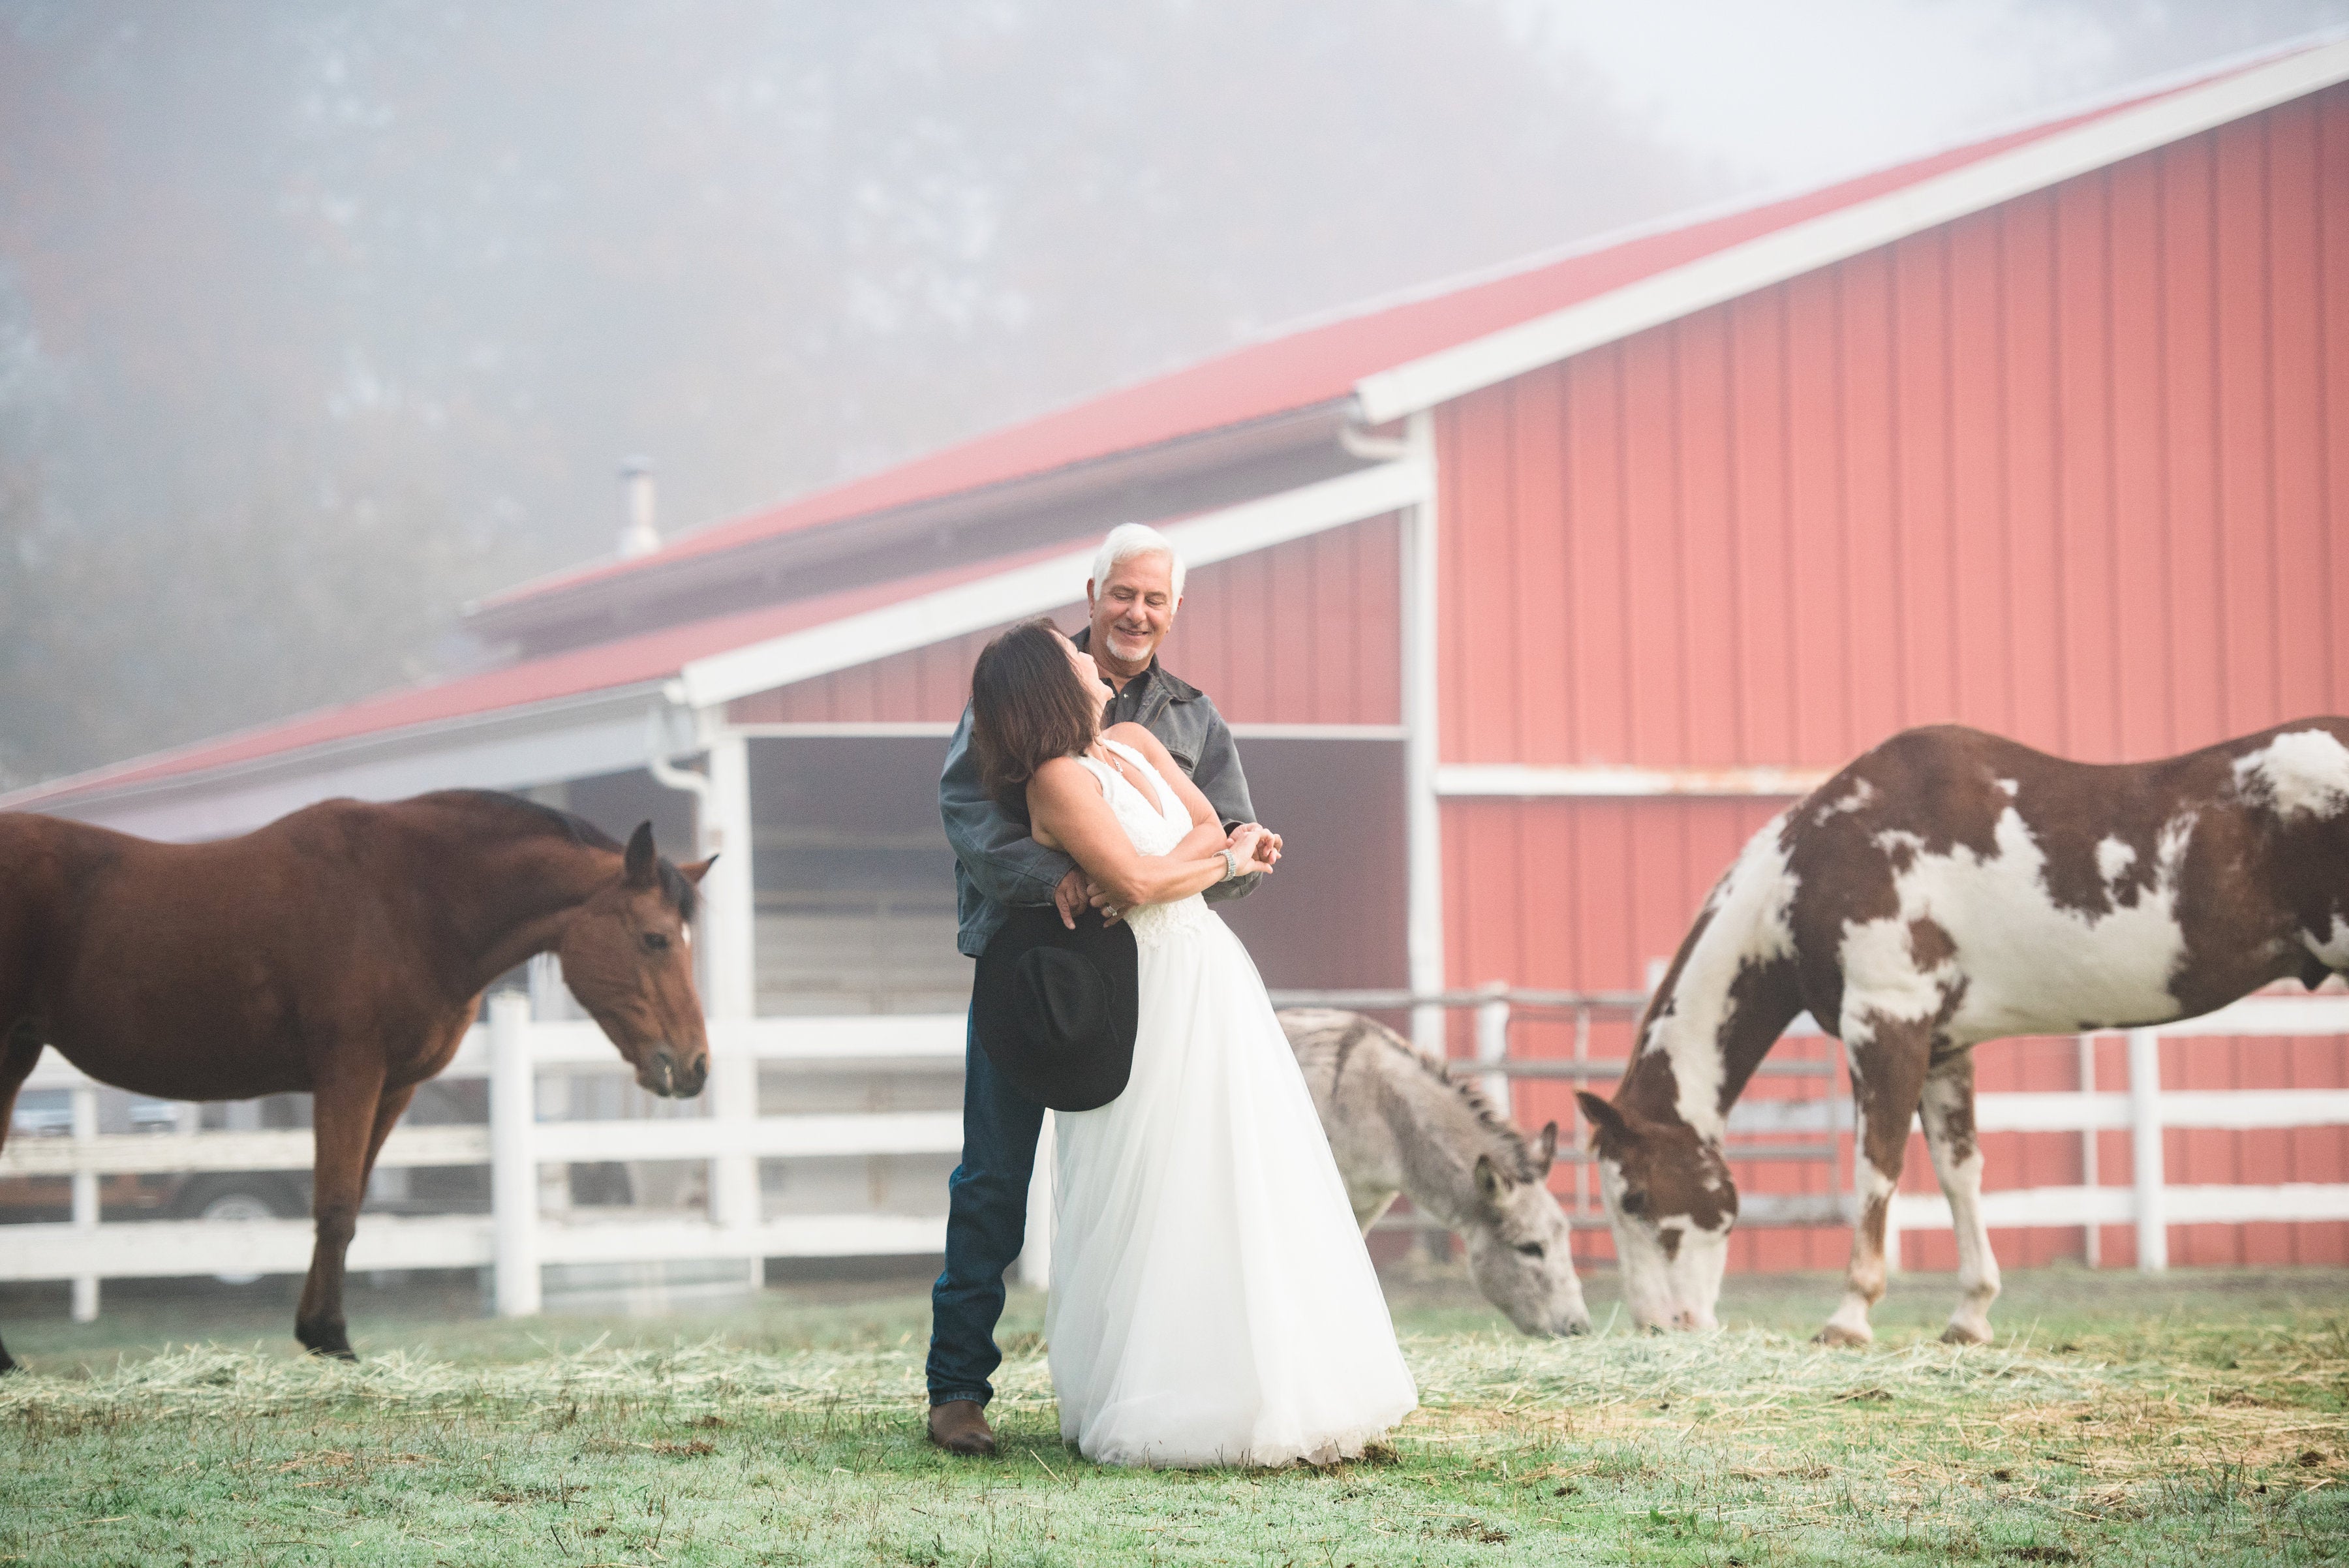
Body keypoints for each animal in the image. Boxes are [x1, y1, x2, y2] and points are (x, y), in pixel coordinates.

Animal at [0, 788, 714, 1361]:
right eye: (655, 939)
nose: (695, 1065)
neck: (412, 901)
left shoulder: (393, 1087)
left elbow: (352, 1204)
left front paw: (317, 1331)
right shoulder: (349, 1074)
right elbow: (336, 1205)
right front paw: (332, 1336)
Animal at [1578, 722, 2349, 1352]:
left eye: (1634, 1199)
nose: (1659, 1325)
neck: (1818, 862)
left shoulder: (1886, 1026)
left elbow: (1877, 1170)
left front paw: (1849, 1318)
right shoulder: (1945, 1048)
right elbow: (1960, 1173)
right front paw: (1970, 1316)